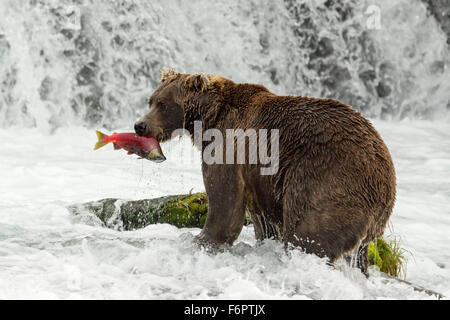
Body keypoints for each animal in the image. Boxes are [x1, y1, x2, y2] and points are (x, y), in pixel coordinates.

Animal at [135, 68, 396, 276]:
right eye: (151, 100)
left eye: (163, 104)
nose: (140, 125)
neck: (208, 119)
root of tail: (386, 182)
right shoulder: (259, 181)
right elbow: (263, 223)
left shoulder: (230, 149)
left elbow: (225, 207)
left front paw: (200, 240)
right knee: (359, 257)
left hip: (328, 183)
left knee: (308, 236)